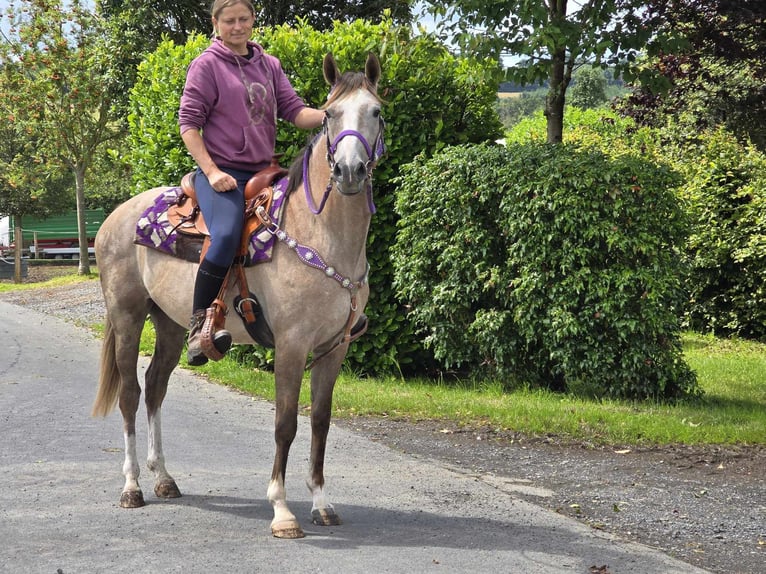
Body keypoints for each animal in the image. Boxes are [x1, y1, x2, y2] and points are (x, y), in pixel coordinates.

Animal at [91, 53, 388, 540]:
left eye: (376, 112)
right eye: (330, 115)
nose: (348, 171)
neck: (320, 234)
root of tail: (115, 216)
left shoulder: (334, 348)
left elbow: (320, 422)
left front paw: (322, 504)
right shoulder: (291, 346)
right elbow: (285, 423)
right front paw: (282, 511)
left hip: (169, 323)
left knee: (155, 387)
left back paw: (164, 478)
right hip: (127, 316)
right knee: (131, 394)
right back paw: (132, 486)